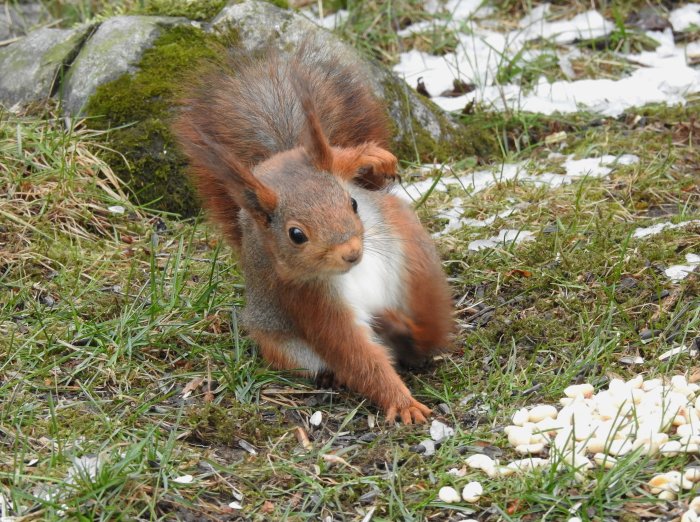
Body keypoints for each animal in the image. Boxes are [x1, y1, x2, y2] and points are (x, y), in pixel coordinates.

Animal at [171, 40, 454, 422]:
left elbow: (430, 312)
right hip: (283, 344)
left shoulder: (409, 263)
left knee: (337, 158)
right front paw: (403, 403)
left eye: (353, 203)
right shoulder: (309, 301)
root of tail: (269, 165)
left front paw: (420, 334)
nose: (351, 252)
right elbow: (355, 354)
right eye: (296, 235)